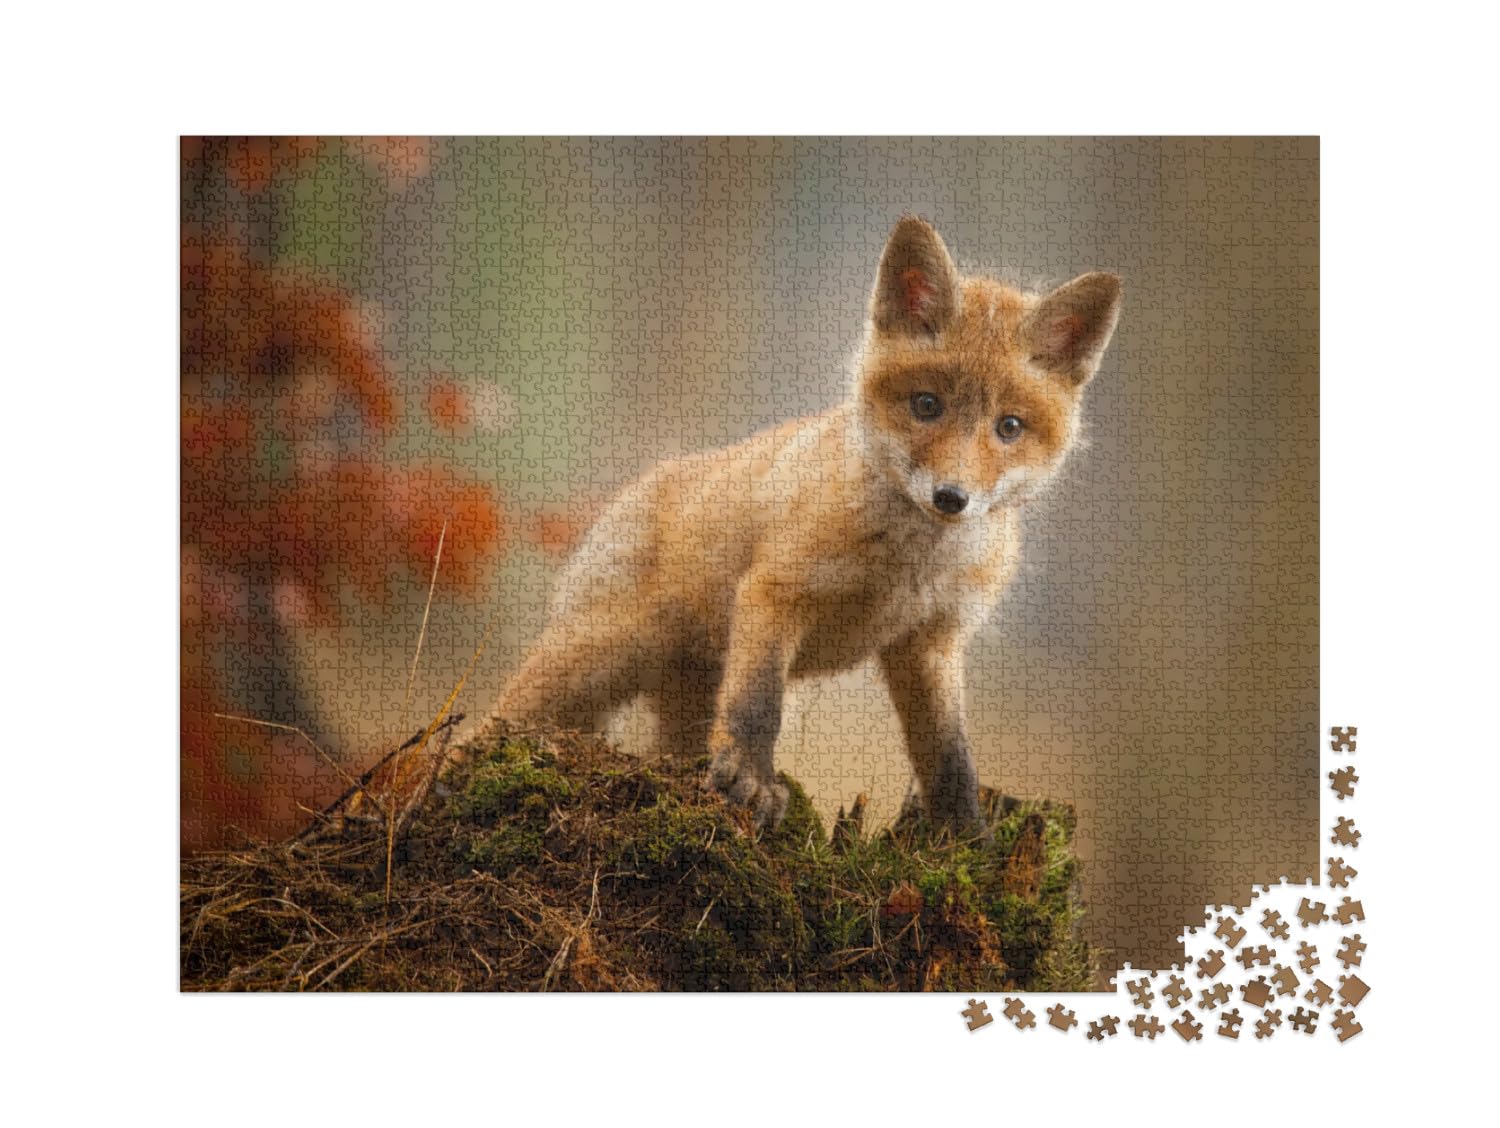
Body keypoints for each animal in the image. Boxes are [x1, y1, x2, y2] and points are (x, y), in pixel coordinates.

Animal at [492, 216, 1121, 833]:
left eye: (1009, 427)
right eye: (926, 405)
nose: (950, 497)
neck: (907, 567)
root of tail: (637, 486)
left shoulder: (930, 642)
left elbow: (949, 758)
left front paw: (965, 838)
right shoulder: (776, 593)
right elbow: (756, 706)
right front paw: (751, 781)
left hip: (681, 702)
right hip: (595, 656)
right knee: (495, 721)